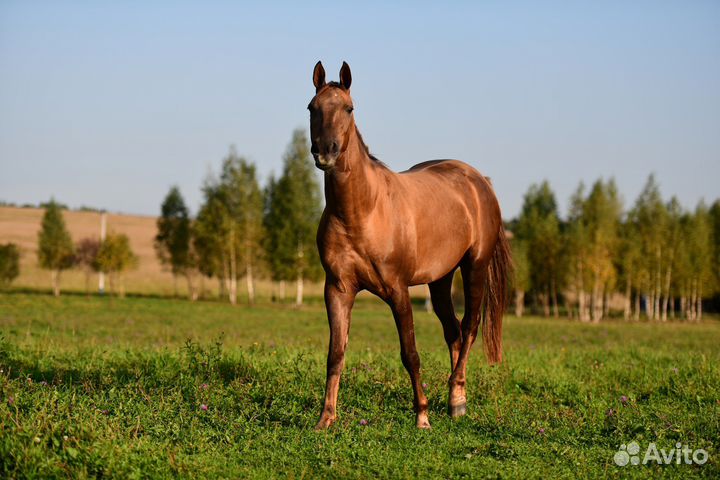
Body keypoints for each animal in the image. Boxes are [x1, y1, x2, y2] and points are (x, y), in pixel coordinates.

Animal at [310, 61, 511, 430]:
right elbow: (336, 353)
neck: (362, 211)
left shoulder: (398, 290)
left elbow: (410, 354)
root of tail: (478, 180)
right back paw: (454, 400)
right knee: (453, 331)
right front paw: (325, 419)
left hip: (475, 267)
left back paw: (457, 396)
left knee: (469, 327)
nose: (325, 152)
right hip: (440, 279)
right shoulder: (338, 289)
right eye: (312, 108)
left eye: (349, 108)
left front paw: (422, 416)